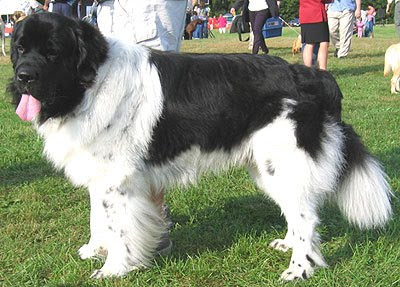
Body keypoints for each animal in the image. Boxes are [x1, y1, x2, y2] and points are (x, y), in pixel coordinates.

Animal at [8, 13, 390, 282]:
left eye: (53, 52)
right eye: (20, 49)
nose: (23, 77)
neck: (90, 81)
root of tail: (311, 75)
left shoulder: (119, 178)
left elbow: (119, 227)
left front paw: (114, 268)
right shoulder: (100, 172)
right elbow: (98, 217)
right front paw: (96, 249)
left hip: (282, 161)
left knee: (306, 217)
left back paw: (299, 269)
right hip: (265, 166)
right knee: (296, 212)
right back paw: (288, 244)